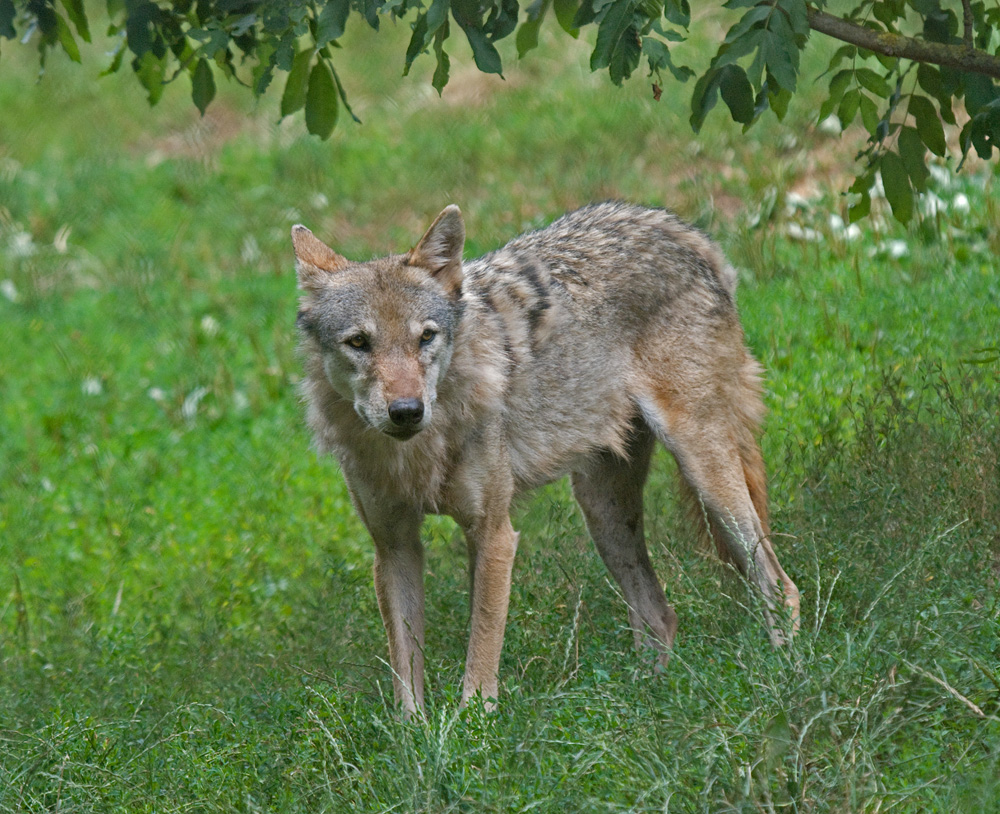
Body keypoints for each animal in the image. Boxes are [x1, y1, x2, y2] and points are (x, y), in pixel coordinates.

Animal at [290, 202, 796, 712]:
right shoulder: (394, 547)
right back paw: (643, 698)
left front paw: (472, 725)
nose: (407, 411)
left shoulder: (494, 535)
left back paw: (785, 673)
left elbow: (482, 649)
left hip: (705, 474)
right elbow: (405, 672)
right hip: (604, 513)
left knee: (779, 585)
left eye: (426, 338)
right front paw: (415, 732)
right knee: (661, 615)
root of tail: (680, 230)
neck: (414, 457)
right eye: (359, 342)